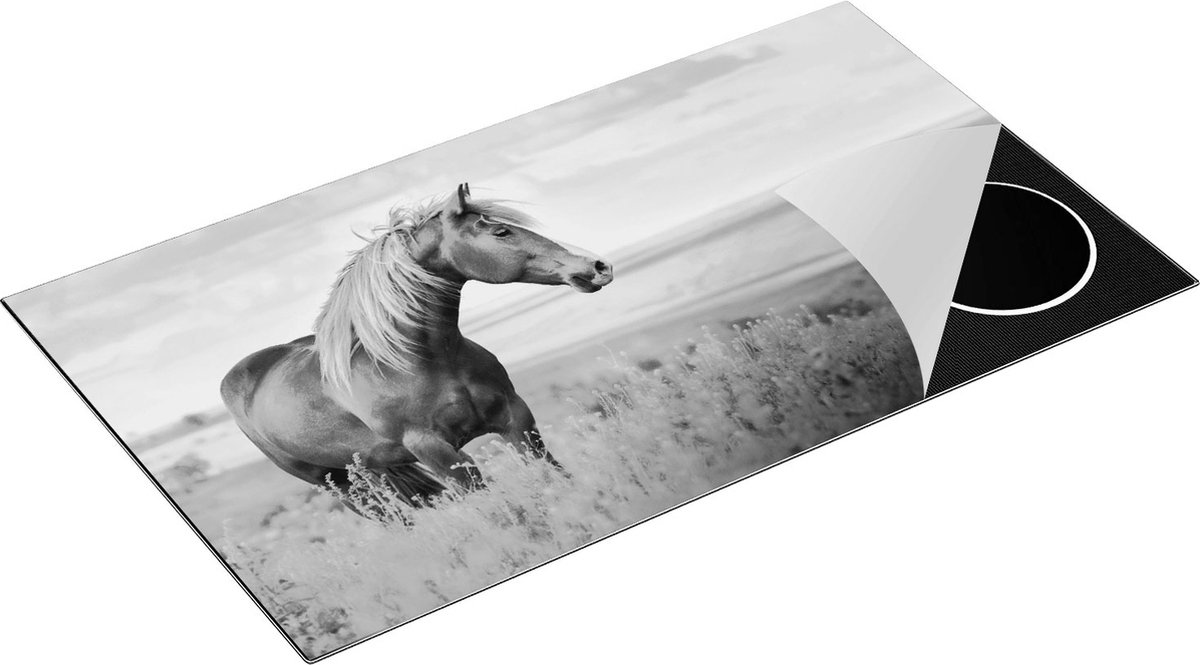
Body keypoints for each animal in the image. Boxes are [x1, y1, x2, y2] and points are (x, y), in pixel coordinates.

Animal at [219, 183, 613, 508]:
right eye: (501, 231)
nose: (598, 266)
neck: (421, 361)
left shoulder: (515, 419)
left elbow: (553, 474)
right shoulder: (433, 449)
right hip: (339, 484)